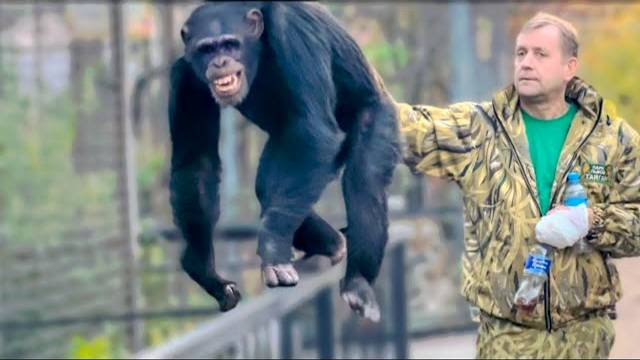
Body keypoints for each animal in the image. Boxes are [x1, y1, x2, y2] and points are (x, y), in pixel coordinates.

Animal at [170, 0, 400, 320]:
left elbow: (316, 131)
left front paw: (273, 248)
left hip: (380, 115)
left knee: (363, 182)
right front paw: (205, 270)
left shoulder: (293, 31)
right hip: (286, 146)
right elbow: (197, 163)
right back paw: (331, 244)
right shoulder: (186, 77)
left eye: (230, 44)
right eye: (207, 49)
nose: (220, 62)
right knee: (269, 187)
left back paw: (358, 283)